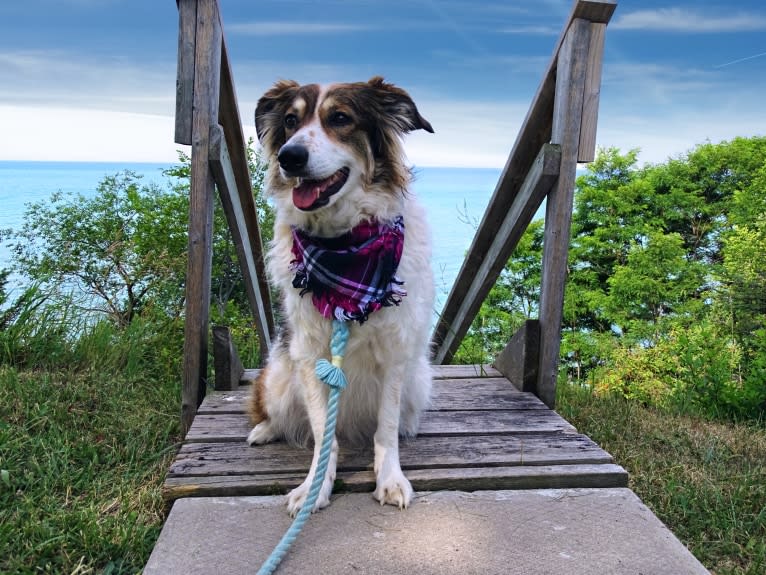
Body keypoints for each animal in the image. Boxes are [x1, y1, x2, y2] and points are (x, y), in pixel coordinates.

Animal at [249, 77, 436, 516]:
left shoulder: (395, 353)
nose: (289, 156)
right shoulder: (308, 352)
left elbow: (386, 428)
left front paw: (390, 478)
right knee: (275, 411)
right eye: (290, 121)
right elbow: (322, 434)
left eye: (339, 118)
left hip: (420, 379)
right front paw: (315, 487)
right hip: (278, 377)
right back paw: (264, 429)